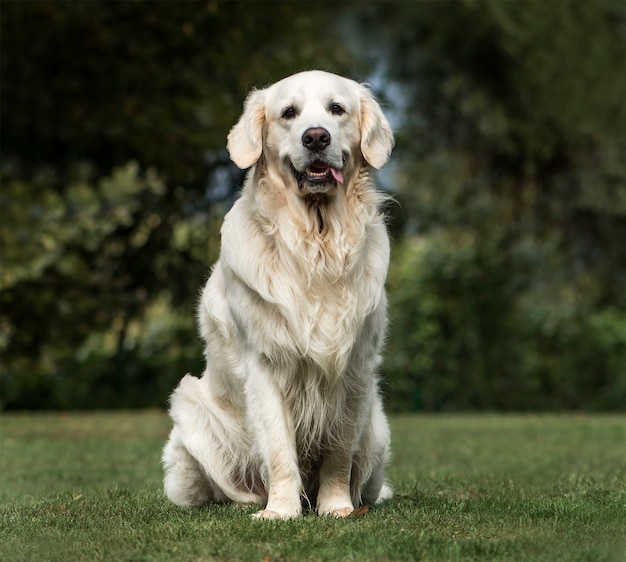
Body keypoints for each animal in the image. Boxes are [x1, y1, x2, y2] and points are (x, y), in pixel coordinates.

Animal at [163, 71, 392, 520]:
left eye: (337, 109)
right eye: (289, 112)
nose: (316, 137)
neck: (316, 242)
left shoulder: (355, 367)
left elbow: (338, 453)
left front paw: (336, 507)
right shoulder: (264, 364)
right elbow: (279, 448)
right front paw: (281, 511)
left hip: (377, 431)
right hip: (189, 410)